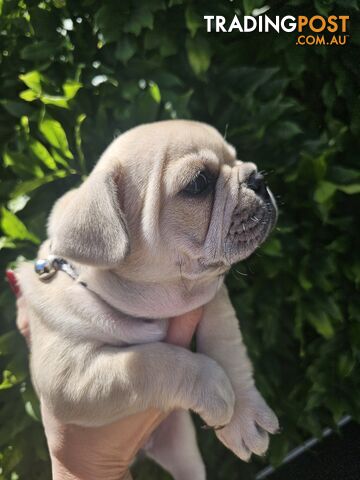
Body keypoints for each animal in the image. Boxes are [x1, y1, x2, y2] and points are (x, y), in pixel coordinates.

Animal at [18, 121, 280, 480]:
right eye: (198, 184)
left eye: (237, 158)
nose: (257, 178)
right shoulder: (69, 378)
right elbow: (150, 361)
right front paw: (214, 385)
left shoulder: (212, 296)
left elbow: (226, 345)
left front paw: (244, 412)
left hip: (181, 445)